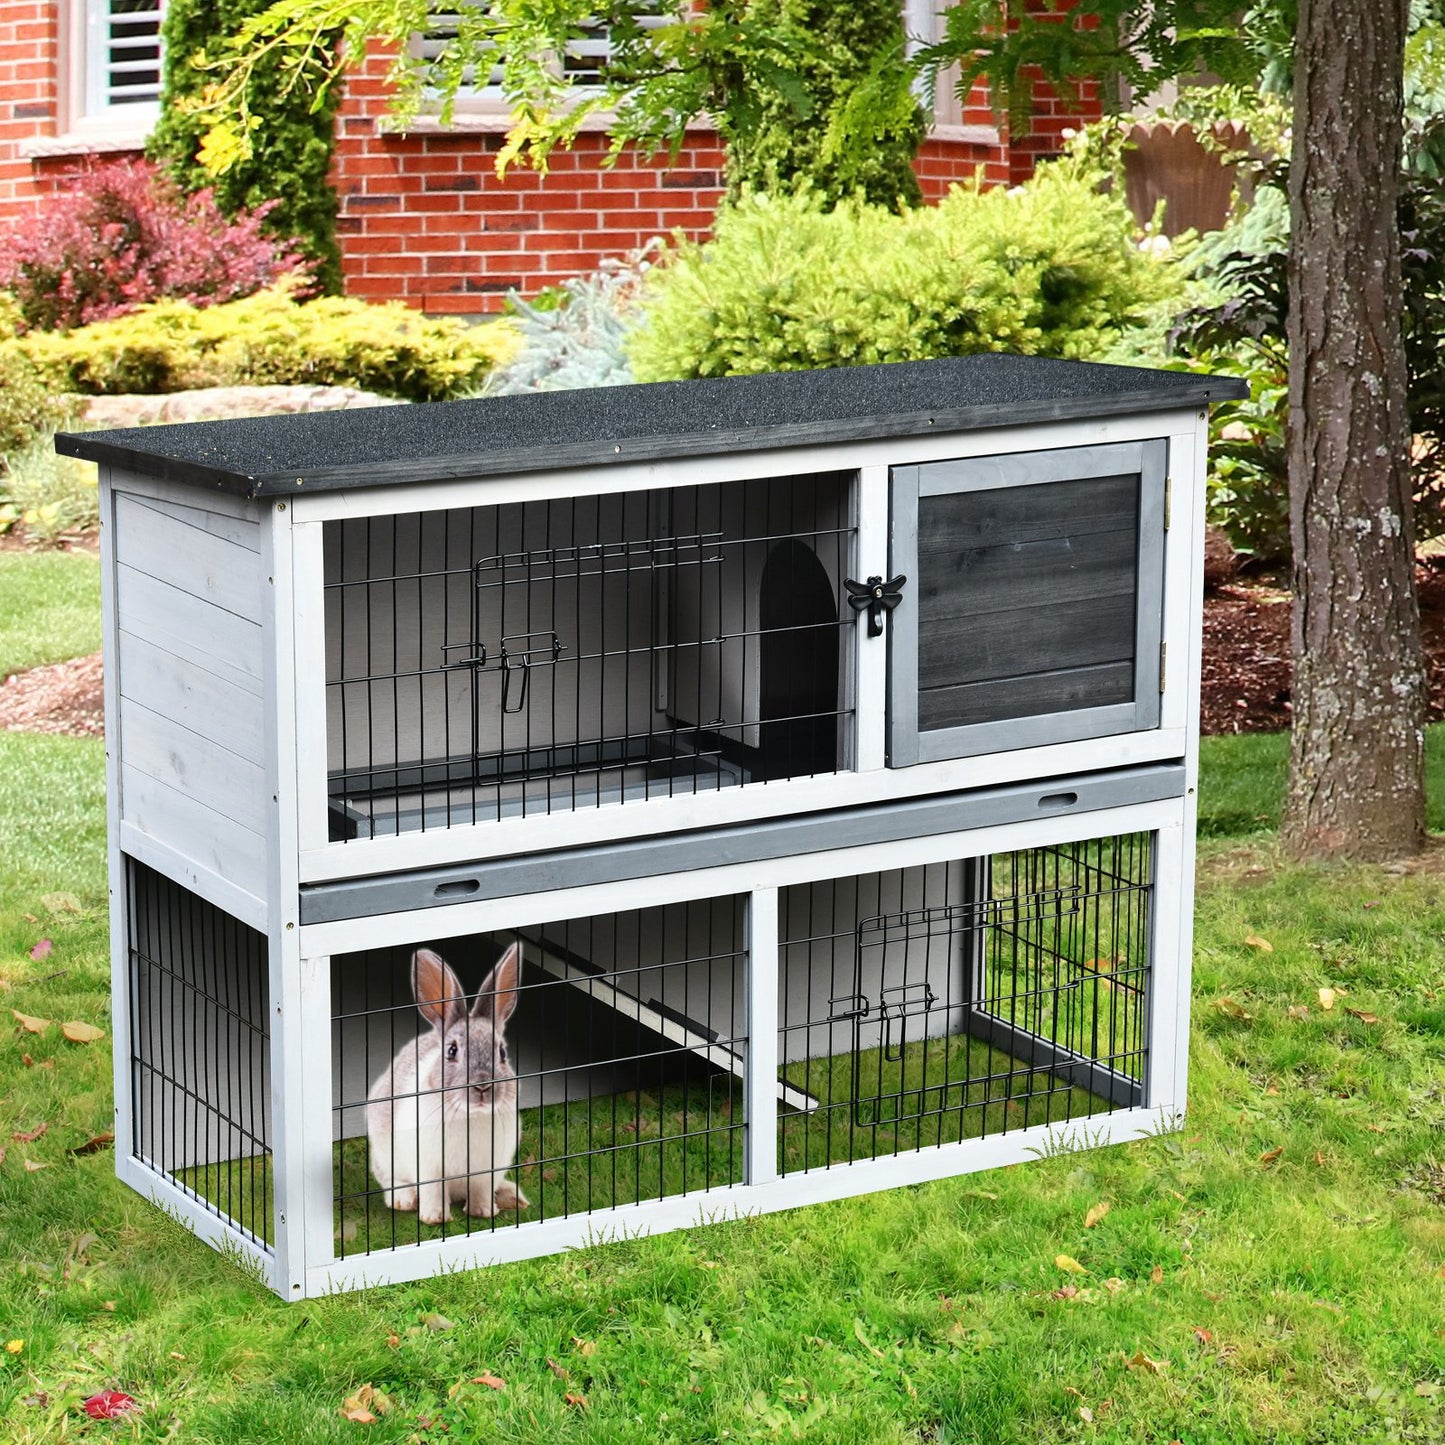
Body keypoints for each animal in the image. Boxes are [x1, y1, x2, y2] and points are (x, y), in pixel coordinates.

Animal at [366, 944, 530, 1226]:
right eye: (452, 1051)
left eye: (502, 1052)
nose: (482, 1087)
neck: (469, 1115)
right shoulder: (430, 1167)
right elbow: (433, 1192)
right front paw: (435, 1218)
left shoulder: (486, 1170)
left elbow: (481, 1192)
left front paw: (484, 1211)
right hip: (385, 1154)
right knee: (390, 1179)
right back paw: (404, 1200)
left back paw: (512, 1197)